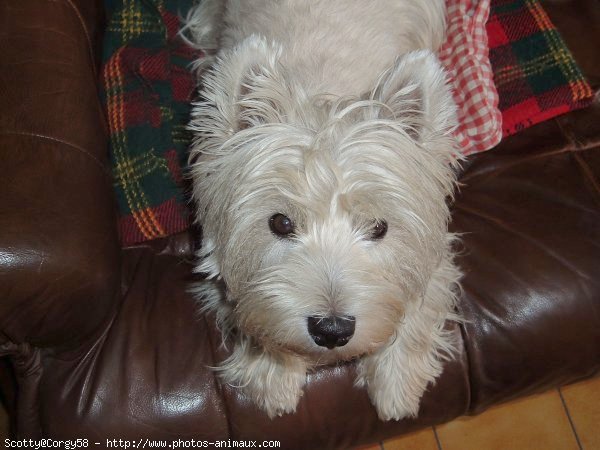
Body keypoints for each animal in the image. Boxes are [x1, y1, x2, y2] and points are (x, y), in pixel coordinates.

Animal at [185, 0, 462, 422]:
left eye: (379, 227)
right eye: (280, 222)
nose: (332, 330)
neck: (324, 86)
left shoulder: (433, 248)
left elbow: (418, 302)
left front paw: (396, 385)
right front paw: (275, 376)